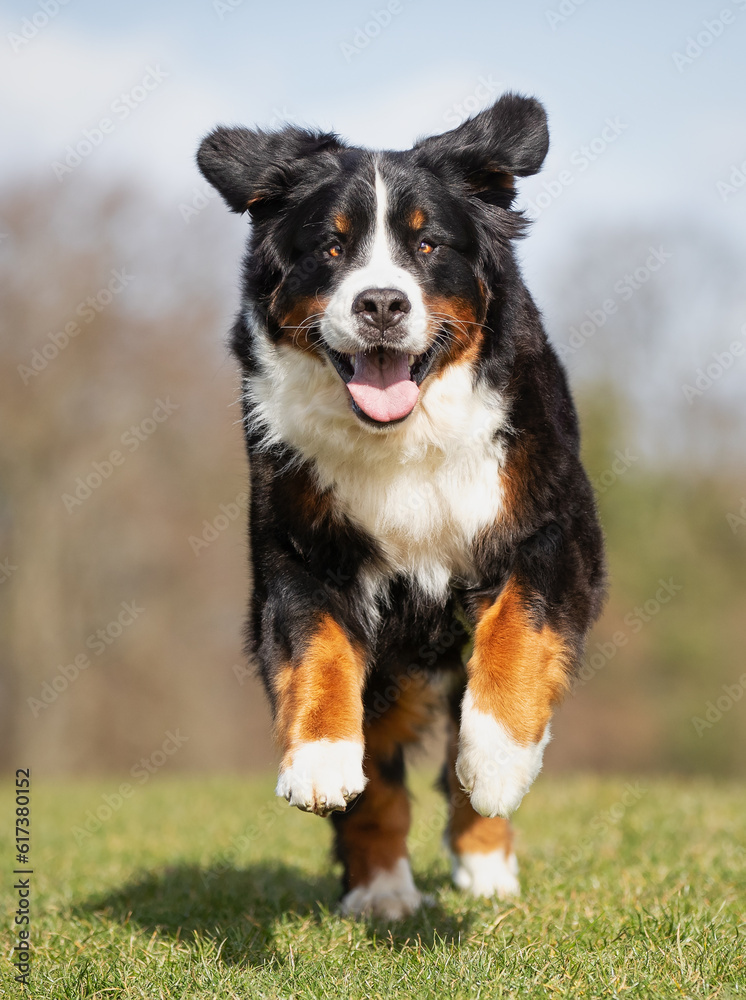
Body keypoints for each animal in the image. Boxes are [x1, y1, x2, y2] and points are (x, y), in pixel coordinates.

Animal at [196, 95, 604, 920]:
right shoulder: (299, 553)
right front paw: (319, 760)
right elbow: (318, 654)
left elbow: (517, 632)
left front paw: (500, 760)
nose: (380, 302)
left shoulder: (555, 529)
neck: (402, 441)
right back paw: (382, 888)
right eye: (330, 247)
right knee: (381, 780)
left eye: (426, 244)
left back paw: (486, 858)